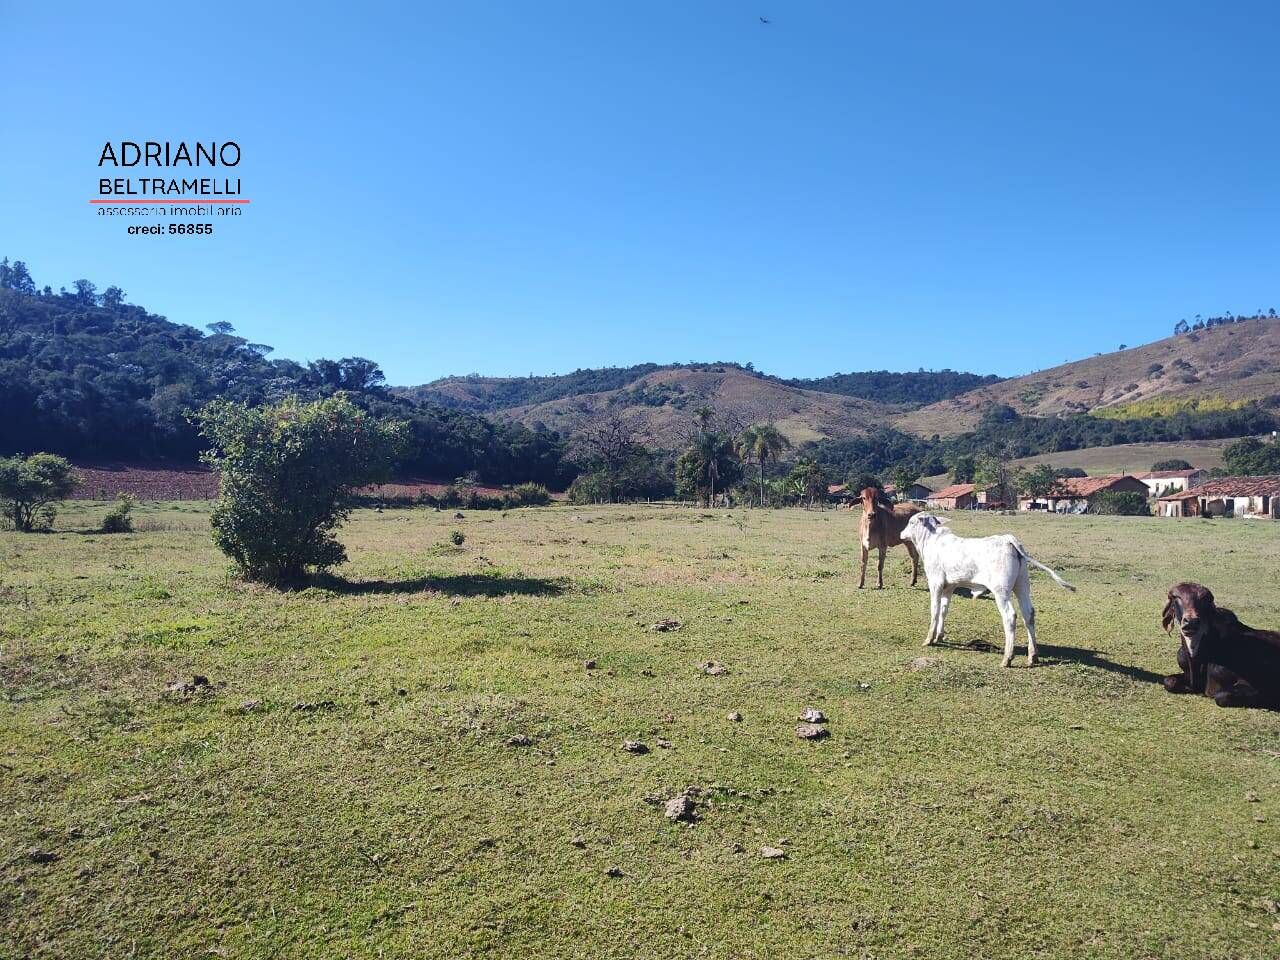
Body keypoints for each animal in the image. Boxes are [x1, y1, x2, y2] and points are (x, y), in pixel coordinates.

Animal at [906, 512, 1075, 670]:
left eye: (911, 522)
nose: (902, 533)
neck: (931, 541)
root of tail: (1007, 539)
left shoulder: (935, 583)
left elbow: (934, 610)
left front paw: (929, 640)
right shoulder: (949, 586)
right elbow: (943, 610)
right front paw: (939, 637)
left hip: (1001, 591)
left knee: (1010, 616)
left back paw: (1007, 658)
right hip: (1022, 586)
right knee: (1029, 615)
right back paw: (1033, 656)